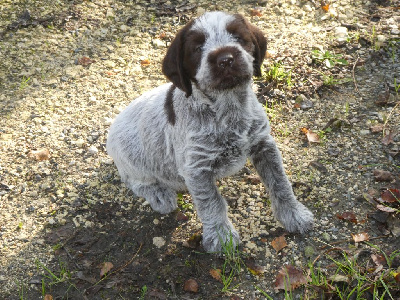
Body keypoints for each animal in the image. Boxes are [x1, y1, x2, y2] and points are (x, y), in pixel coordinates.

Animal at [106, 11, 312, 252]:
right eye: (197, 48)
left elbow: (280, 183)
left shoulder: (264, 144)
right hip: (132, 159)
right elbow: (212, 202)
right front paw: (221, 237)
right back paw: (159, 194)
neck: (228, 109)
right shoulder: (198, 168)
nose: (225, 59)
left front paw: (294, 215)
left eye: (238, 37)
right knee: (135, 181)